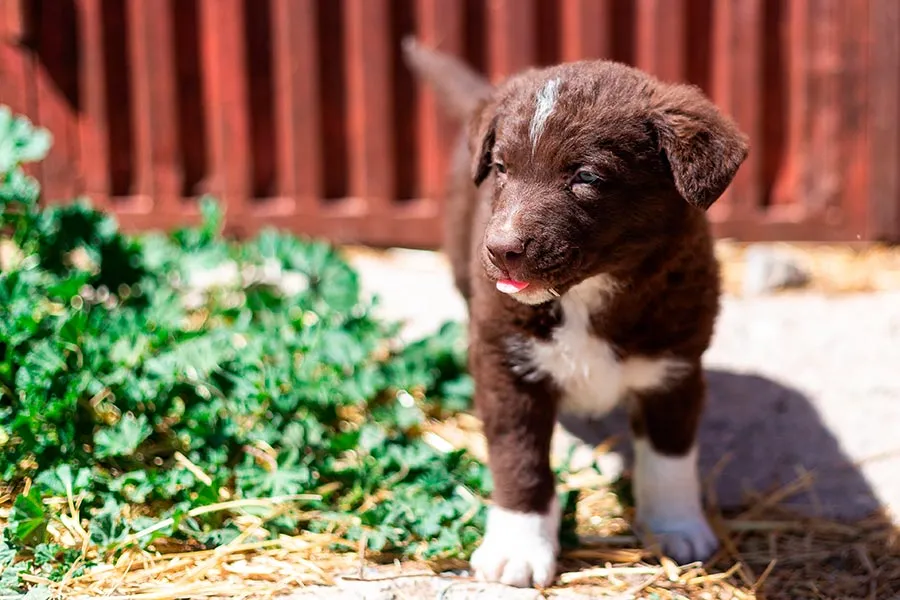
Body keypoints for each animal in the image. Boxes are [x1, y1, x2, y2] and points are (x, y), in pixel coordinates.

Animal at [404, 39, 748, 588]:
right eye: (502, 168)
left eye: (586, 177)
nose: (500, 250)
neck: (586, 296)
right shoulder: (504, 363)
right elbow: (519, 458)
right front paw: (519, 547)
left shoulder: (676, 364)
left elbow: (670, 456)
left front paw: (675, 526)